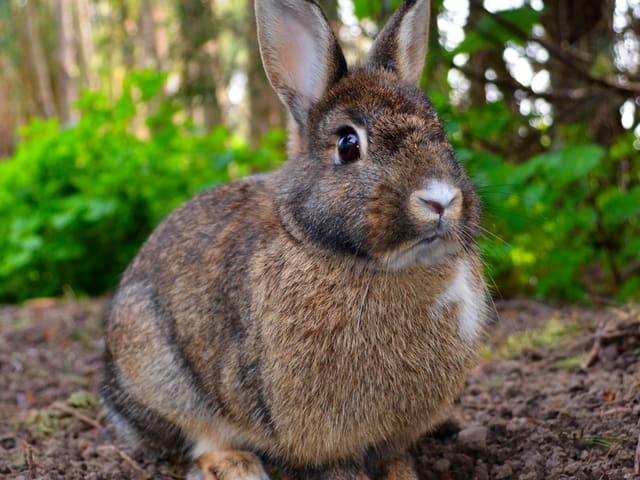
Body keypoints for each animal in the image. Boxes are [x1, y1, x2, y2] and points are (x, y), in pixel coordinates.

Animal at [101, 0, 490, 479]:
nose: (440, 199)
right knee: (198, 437)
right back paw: (238, 466)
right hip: (157, 368)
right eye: (347, 144)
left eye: (442, 133)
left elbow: (395, 459)